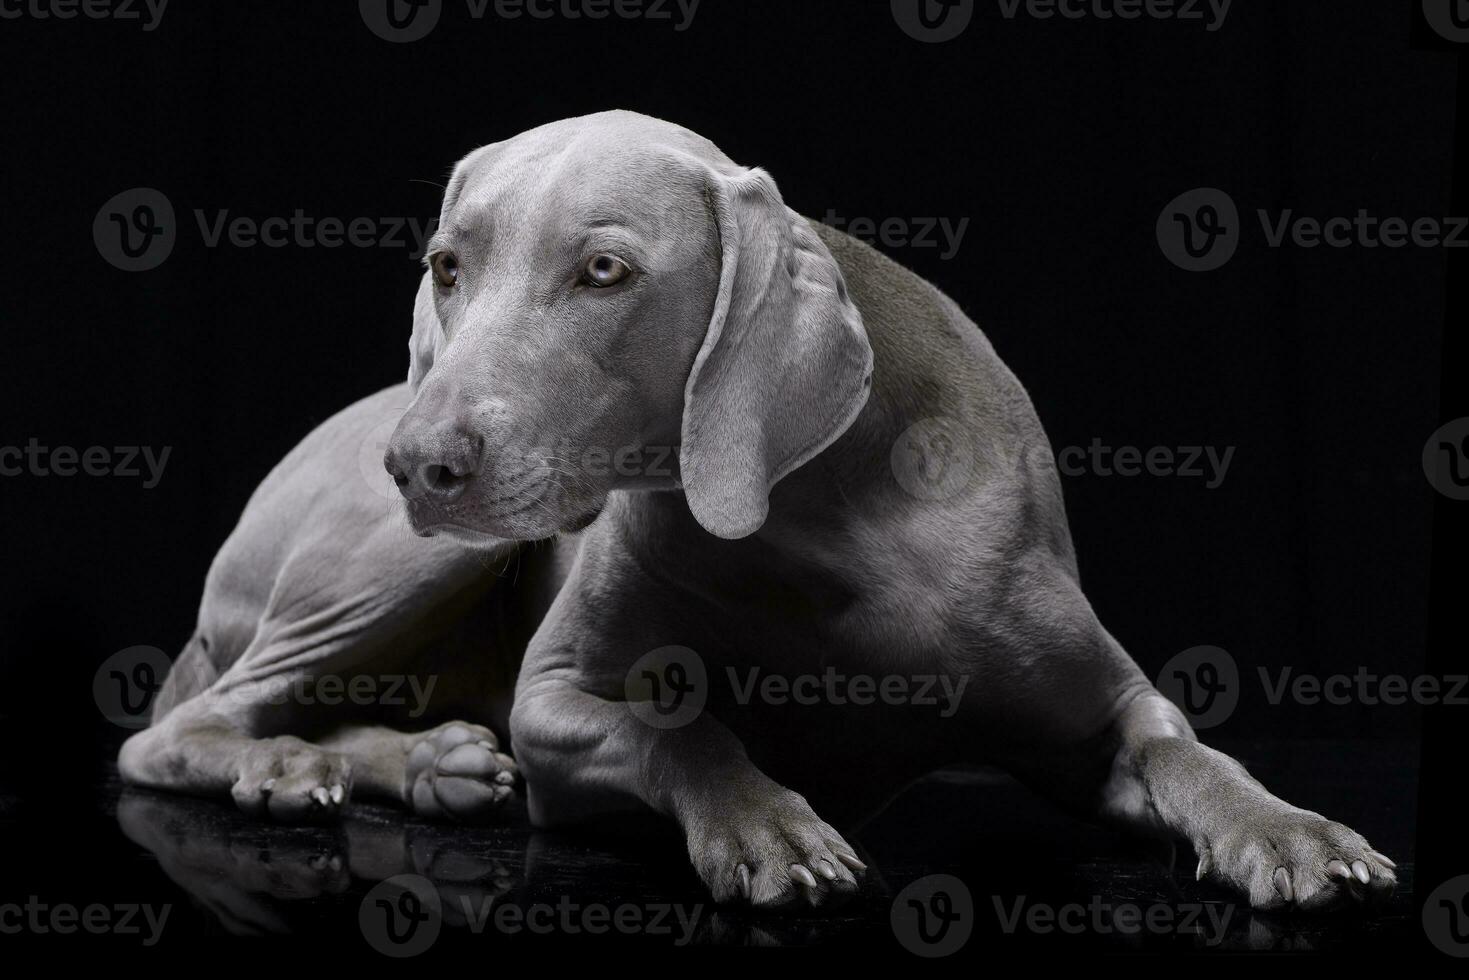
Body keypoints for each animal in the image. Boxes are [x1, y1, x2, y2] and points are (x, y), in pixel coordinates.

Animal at [120, 107, 1392, 910]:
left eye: (604, 271)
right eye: (445, 263)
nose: (418, 462)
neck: (817, 516)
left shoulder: (1100, 708)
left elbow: (1191, 754)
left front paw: (1291, 830)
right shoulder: (553, 700)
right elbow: (681, 726)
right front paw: (768, 825)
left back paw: (421, 758)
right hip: (403, 563)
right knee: (176, 729)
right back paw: (292, 769)